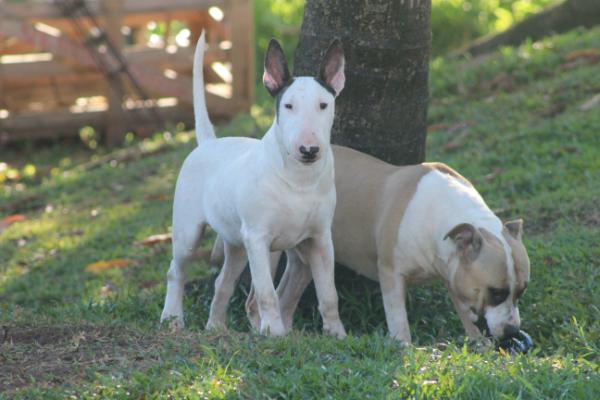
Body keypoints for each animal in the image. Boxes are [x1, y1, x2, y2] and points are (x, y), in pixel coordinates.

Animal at [161, 32, 346, 336]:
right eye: (288, 105)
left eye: (323, 105)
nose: (309, 150)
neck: (298, 179)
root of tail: (209, 143)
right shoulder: (257, 237)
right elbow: (266, 292)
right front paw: (275, 333)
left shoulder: (320, 239)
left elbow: (329, 293)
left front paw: (336, 335)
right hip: (189, 232)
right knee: (176, 270)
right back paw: (172, 318)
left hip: (236, 243)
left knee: (223, 282)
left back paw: (216, 326)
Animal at [219, 145, 528, 342]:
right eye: (496, 292)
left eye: (521, 292)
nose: (513, 331)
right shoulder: (391, 274)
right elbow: (398, 318)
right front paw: (404, 347)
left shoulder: (456, 273)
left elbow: (465, 312)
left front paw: (479, 345)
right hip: (268, 247)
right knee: (255, 301)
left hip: (308, 255)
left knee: (288, 294)